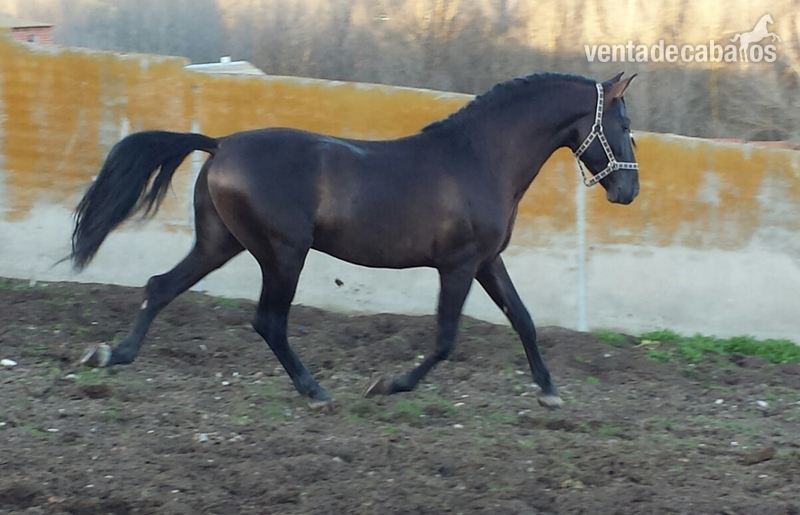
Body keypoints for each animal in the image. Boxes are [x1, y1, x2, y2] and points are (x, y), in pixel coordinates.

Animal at [71, 71, 639, 410]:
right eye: (624, 123)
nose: (628, 191)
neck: (480, 158)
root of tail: (221, 144)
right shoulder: (458, 265)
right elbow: (445, 339)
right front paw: (388, 384)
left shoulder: (487, 261)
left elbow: (523, 319)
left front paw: (550, 391)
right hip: (284, 252)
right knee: (268, 321)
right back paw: (315, 392)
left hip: (220, 243)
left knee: (161, 286)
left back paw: (112, 354)